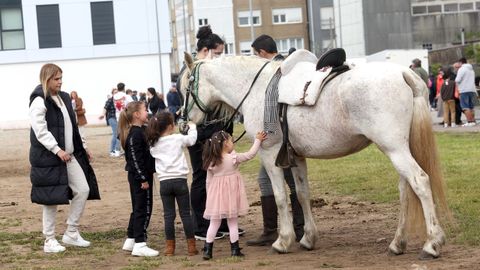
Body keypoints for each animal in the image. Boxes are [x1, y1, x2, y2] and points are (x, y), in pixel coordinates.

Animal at [180, 53, 450, 258]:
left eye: (184, 89)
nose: (182, 125)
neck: (259, 90)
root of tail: (403, 74)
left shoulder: (269, 154)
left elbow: (280, 197)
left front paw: (283, 240)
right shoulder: (297, 157)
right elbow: (301, 194)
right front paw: (308, 238)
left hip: (394, 149)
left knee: (420, 182)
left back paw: (432, 243)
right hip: (399, 149)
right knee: (406, 189)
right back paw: (398, 243)